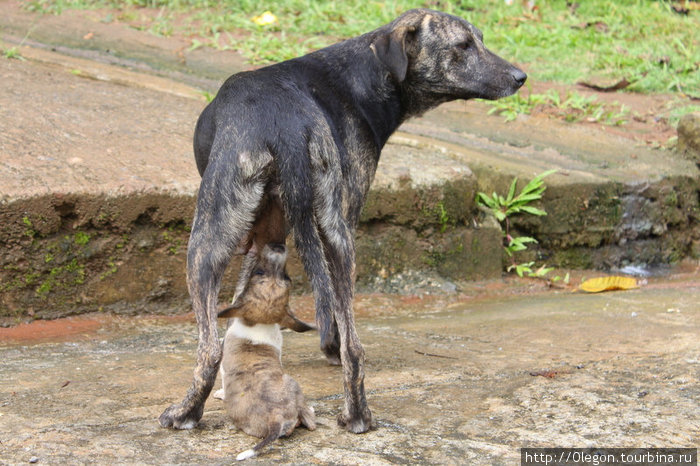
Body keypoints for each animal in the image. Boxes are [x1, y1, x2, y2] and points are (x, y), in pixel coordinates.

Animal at [160, 7, 524, 434]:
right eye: (465, 45)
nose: (521, 77)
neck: (364, 77)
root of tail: (287, 126)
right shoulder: (289, 230)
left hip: (207, 238)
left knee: (208, 349)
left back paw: (185, 413)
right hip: (337, 235)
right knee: (355, 347)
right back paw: (357, 416)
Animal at [217, 242, 316, 460]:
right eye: (260, 272)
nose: (278, 247)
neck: (260, 323)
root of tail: (275, 418)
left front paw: (220, 393)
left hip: (291, 381)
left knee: (308, 417)